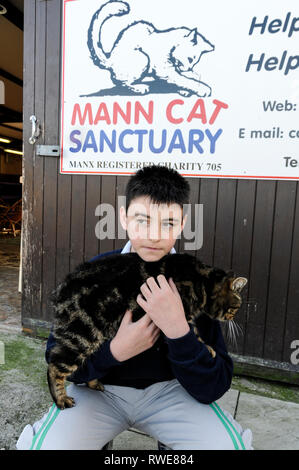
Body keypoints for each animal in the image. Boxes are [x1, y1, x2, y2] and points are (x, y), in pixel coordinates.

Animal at [48, 252, 247, 410]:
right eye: (236, 307)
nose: (234, 317)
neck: (203, 282)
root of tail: (60, 289)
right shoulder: (181, 315)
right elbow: (195, 335)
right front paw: (208, 348)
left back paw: (94, 382)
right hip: (82, 336)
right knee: (54, 364)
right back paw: (61, 399)